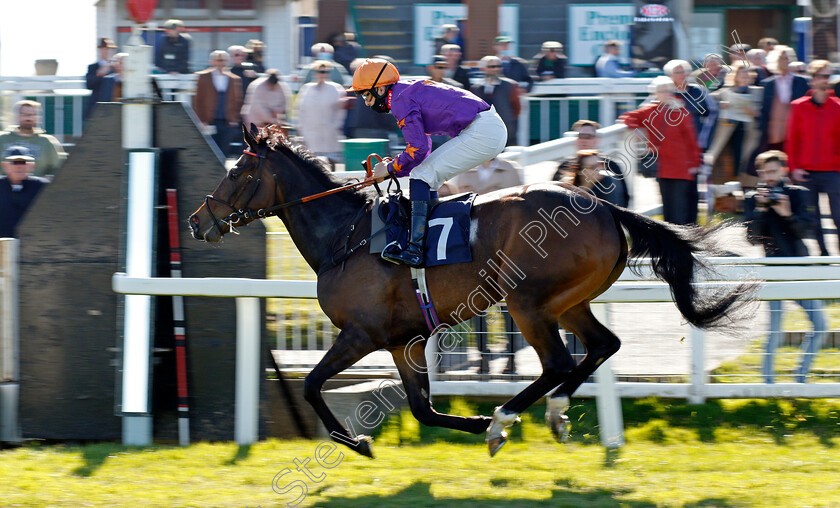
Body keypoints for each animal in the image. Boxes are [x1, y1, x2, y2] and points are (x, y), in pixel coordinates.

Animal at [190, 125, 756, 458]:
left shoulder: (361, 334)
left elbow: (310, 385)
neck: (344, 236)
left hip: (526, 300)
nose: (198, 221)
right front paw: (470, 419)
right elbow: (422, 409)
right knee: (601, 346)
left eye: (237, 171)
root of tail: (605, 206)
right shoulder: (404, 341)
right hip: (569, 300)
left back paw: (507, 418)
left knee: (557, 362)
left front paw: (359, 442)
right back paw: (548, 413)